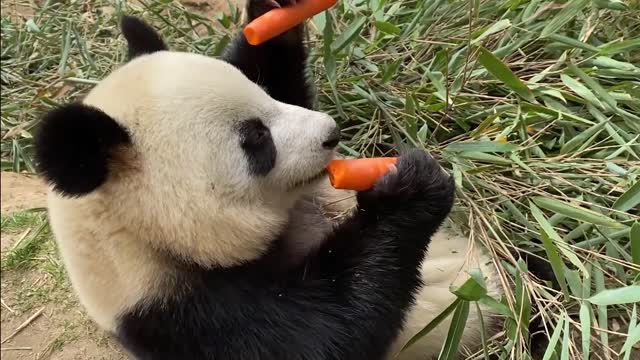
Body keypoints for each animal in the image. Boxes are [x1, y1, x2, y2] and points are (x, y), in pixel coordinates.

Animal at [32, 1, 508, 358]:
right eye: (256, 139)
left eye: (265, 96)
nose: (331, 133)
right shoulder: (184, 315)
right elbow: (328, 335)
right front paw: (409, 188)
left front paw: (274, 12)